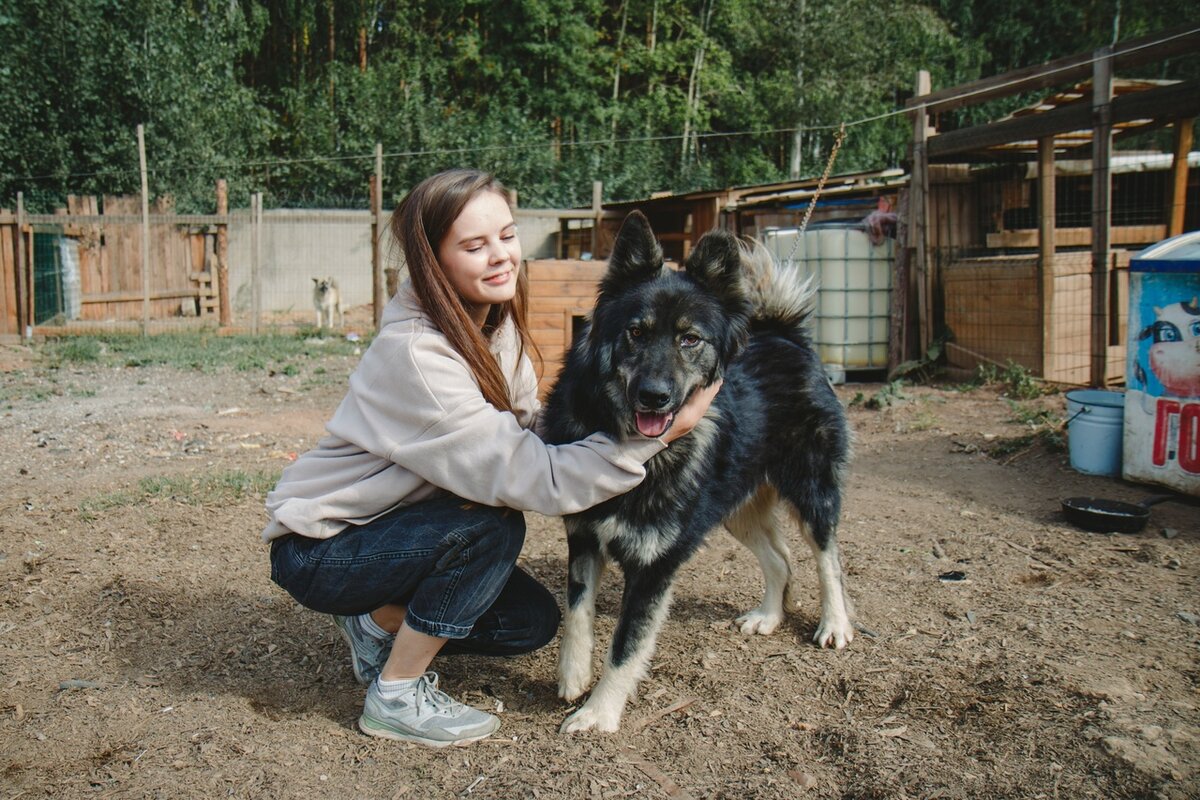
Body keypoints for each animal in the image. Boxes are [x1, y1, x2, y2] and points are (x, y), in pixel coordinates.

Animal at [544, 211, 854, 734]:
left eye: (690, 339)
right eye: (636, 333)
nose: (654, 396)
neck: (635, 448)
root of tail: (783, 333)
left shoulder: (655, 566)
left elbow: (626, 646)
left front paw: (598, 714)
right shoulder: (585, 536)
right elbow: (577, 612)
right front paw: (573, 674)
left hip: (810, 490)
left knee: (826, 558)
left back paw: (835, 624)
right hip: (733, 508)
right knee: (781, 559)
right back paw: (768, 617)